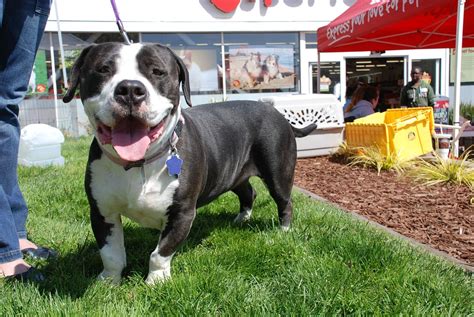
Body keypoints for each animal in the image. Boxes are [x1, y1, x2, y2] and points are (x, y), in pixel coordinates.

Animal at [62, 42, 314, 284]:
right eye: (103, 69)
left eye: (157, 72)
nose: (130, 89)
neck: (139, 163)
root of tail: (277, 113)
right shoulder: (102, 211)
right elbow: (111, 254)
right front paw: (108, 281)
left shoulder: (182, 213)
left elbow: (160, 253)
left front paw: (156, 281)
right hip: (233, 174)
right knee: (248, 193)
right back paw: (241, 219)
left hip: (277, 172)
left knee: (284, 201)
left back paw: (283, 231)